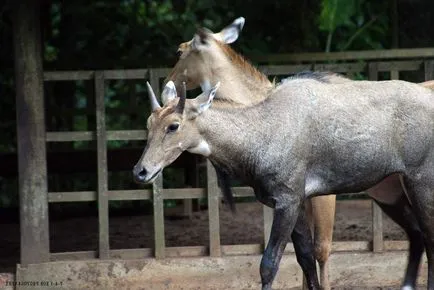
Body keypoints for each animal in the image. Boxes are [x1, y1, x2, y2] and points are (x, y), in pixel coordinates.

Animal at [162, 17, 434, 290]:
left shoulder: (321, 196)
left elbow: (320, 249)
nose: (167, 86)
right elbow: (304, 253)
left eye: (179, 51)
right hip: (389, 189)